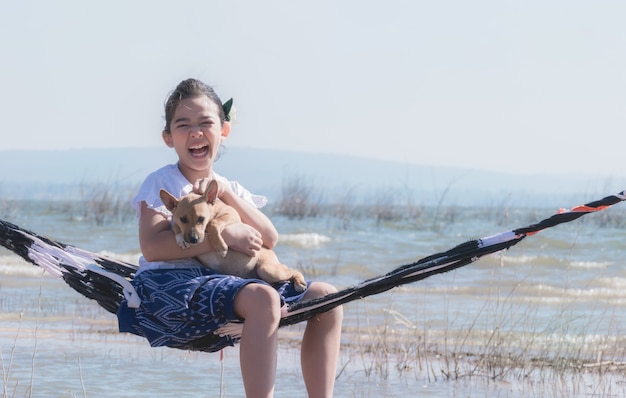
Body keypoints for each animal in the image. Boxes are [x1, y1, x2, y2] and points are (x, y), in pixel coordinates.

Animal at [157, 182, 306, 290]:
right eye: (183, 219)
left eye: (201, 219)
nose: (193, 239)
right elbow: (175, 226)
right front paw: (180, 238)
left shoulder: (231, 214)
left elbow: (213, 223)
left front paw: (220, 246)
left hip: (268, 270)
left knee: (292, 270)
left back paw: (300, 282)